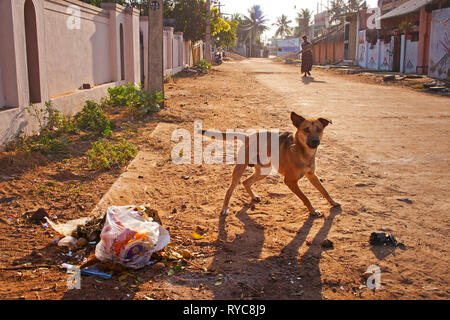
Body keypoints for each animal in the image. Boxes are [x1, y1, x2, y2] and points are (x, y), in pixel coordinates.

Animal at [202, 111, 340, 216]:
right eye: (306, 129)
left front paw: (333, 202)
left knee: (246, 182)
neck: (303, 151)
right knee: (230, 188)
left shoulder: (312, 175)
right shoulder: (290, 181)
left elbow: (324, 190)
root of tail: (248, 136)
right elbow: (305, 197)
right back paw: (225, 208)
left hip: (264, 171)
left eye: (319, 129)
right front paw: (312, 211)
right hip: (240, 169)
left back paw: (253, 196)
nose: (315, 141)